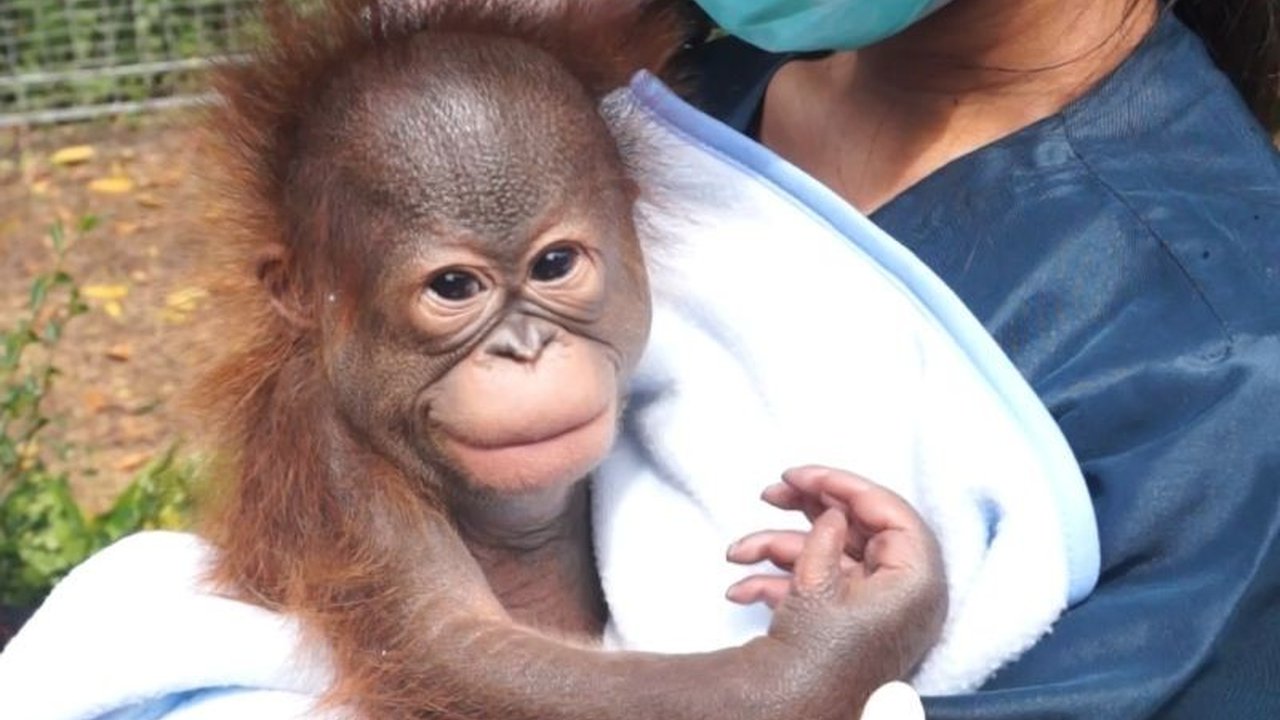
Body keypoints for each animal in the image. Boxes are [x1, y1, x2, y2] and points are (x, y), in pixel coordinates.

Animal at [191, 0, 947, 718]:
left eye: (554, 265)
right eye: (454, 287)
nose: (523, 350)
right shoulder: (329, 457)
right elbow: (453, 647)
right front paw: (846, 633)